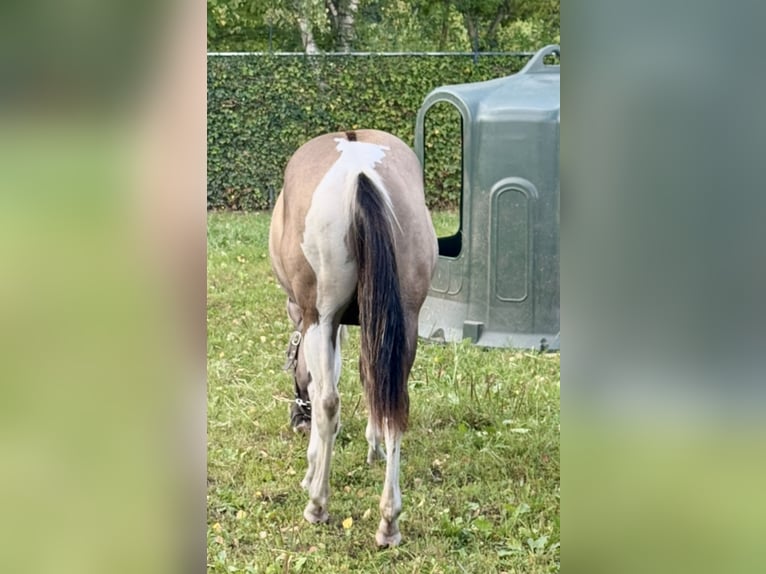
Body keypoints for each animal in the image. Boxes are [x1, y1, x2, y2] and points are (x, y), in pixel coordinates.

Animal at [268, 129, 438, 547]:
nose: (296, 420)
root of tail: (360, 169)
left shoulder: (319, 322)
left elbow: (322, 391)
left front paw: (311, 470)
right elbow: (369, 376)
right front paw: (372, 446)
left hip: (321, 316)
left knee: (328, 400)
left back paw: (317, 504)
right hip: (405, 319)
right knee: (396, 404)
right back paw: (389, 522)